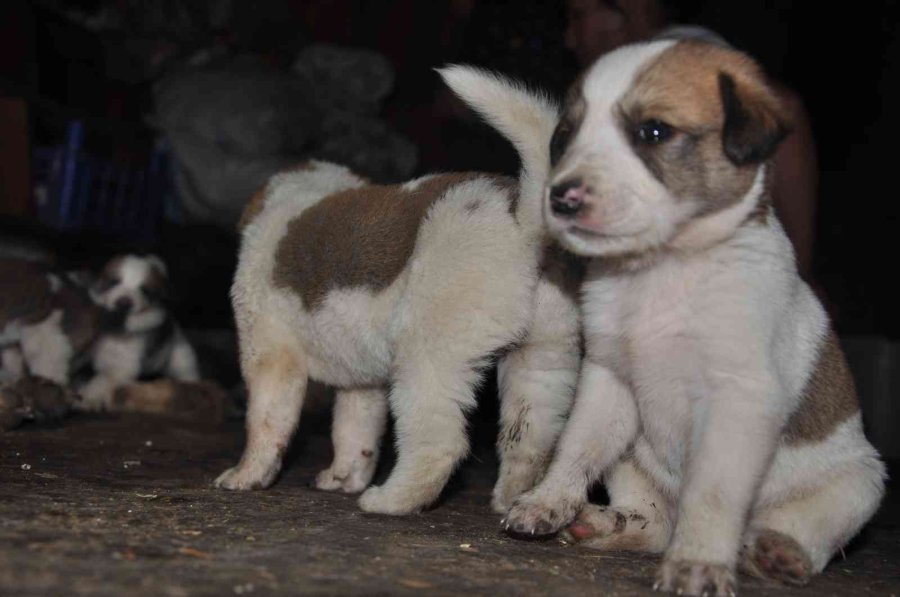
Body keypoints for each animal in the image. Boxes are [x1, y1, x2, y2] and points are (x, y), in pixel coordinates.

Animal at [78, 251, 199, 410]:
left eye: (144, 290)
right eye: (114, 282)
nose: (124, 303)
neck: (116, 327)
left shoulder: (122, 367)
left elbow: (102, 379)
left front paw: (91, 397)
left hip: (180, 358)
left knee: (187, 372)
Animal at [218, 68, 584, 516]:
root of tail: (523, 220)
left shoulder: (269, 357)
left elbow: (266, 424)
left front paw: (245, 476)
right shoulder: (362, 383)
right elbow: (354, 432)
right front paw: (342, 478)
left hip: (427, 359)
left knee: (439, 443)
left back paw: (390, 500)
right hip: (544, 358)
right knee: (530, 439)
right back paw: (510, 500)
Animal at [486, 39, 884, 592]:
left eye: (654, 131)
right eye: (564, 136)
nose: (559, 198)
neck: (661, 270)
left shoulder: (738, 402)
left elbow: (712, 494)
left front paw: (699, 563)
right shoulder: (609, 381)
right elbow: (577, 446)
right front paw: (548, 501)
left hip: (860, 484)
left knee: (805, 532)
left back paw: (778, 554)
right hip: (635, 457)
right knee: (654, 523)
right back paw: (601, 523)